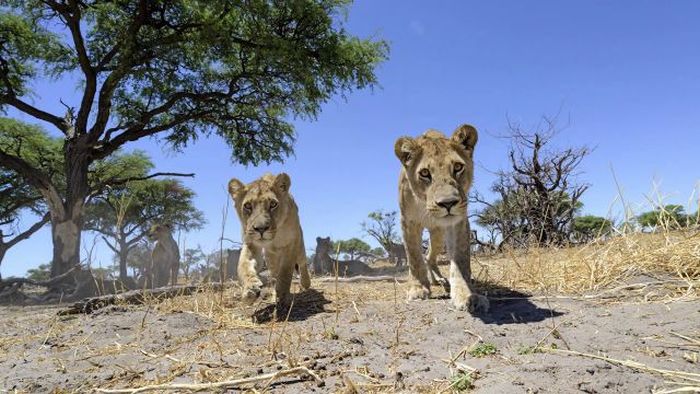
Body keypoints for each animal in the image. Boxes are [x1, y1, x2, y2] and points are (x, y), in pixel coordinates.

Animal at [228, 172, 310, 308]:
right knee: (274, 275)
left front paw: (283, 293)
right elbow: (244, 265)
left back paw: (305, 283)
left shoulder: (291, 243)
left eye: (273, 204)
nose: (261, 229)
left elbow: (286, 271)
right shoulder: (251, 243)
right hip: (271, 259)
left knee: (302, 264)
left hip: (300, 247)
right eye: (248, 206)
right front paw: (250, 290)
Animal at [396, 124, 490, 312]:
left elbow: (460, 260)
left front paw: (467, 295)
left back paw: (439, 279)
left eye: (458, 167)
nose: (448, 203)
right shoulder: (408, 221)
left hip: (438, 236)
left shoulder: (459, 221)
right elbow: (414, 256)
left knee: (430, 256)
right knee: (425, 257)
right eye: (425, 173)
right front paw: (418, 289)